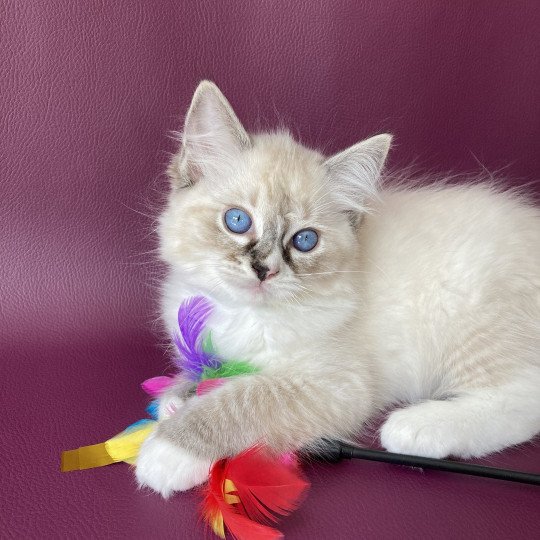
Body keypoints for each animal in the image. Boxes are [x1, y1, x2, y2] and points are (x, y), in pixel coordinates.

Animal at [135, 80, 540, 498]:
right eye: (237, 221)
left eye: (305, 241)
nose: (265, 270)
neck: (241, 314)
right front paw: (177, 397)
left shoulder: (332, 384)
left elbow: (242, 401)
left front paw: (168, 449)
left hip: (476, 323)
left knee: (523, 400)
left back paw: (414, 428)